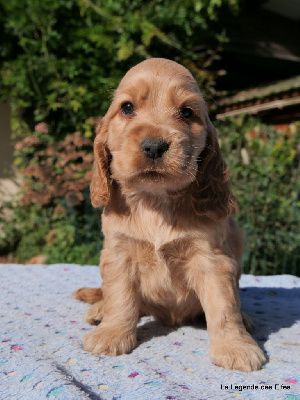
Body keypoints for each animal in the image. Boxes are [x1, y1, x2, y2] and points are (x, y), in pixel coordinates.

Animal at [74, 57, 266, 372]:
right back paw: (99, 309)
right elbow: (120, 297)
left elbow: (223, 307)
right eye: (127, 108)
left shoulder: (212, 259)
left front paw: (235, 347)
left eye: (186, 112)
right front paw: (112, 334)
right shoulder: (119, 252)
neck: (156, 201)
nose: (154, 146)